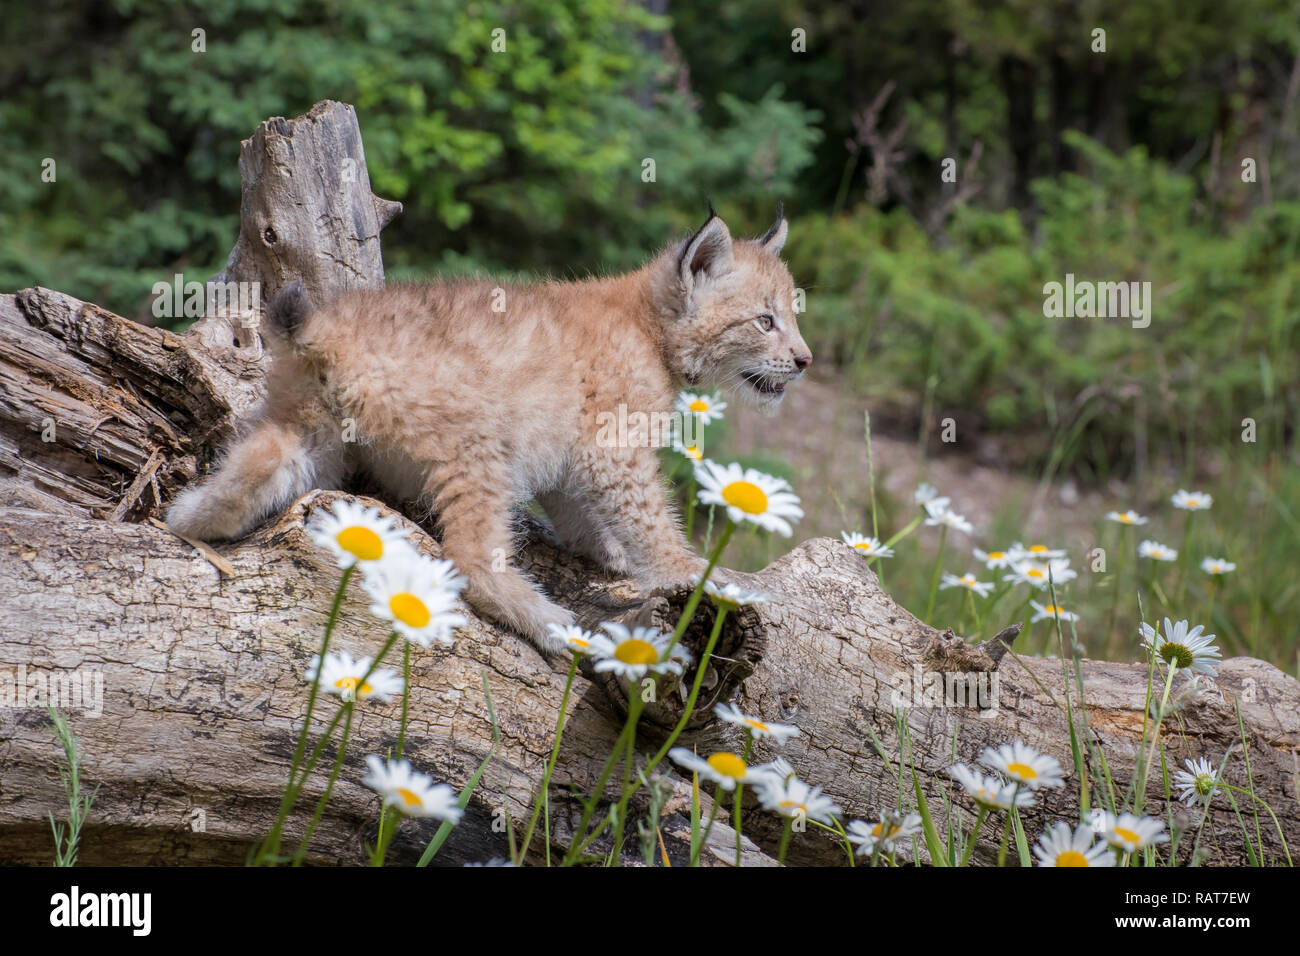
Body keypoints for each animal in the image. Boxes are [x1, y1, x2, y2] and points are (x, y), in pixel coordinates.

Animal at [166, 209, 806, 655]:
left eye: (790, 318)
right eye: (765, 321)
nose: (804, 361)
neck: (652, 328)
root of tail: (326, 330)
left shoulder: (577, 454)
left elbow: (581, 511)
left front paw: (612, 553)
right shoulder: (612, 449)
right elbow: (650, 520)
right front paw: (695, 576)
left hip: (310, 433)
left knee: (248, 473)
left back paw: (188, 517)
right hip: (478, 440)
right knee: (469, 559)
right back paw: (550, 624)